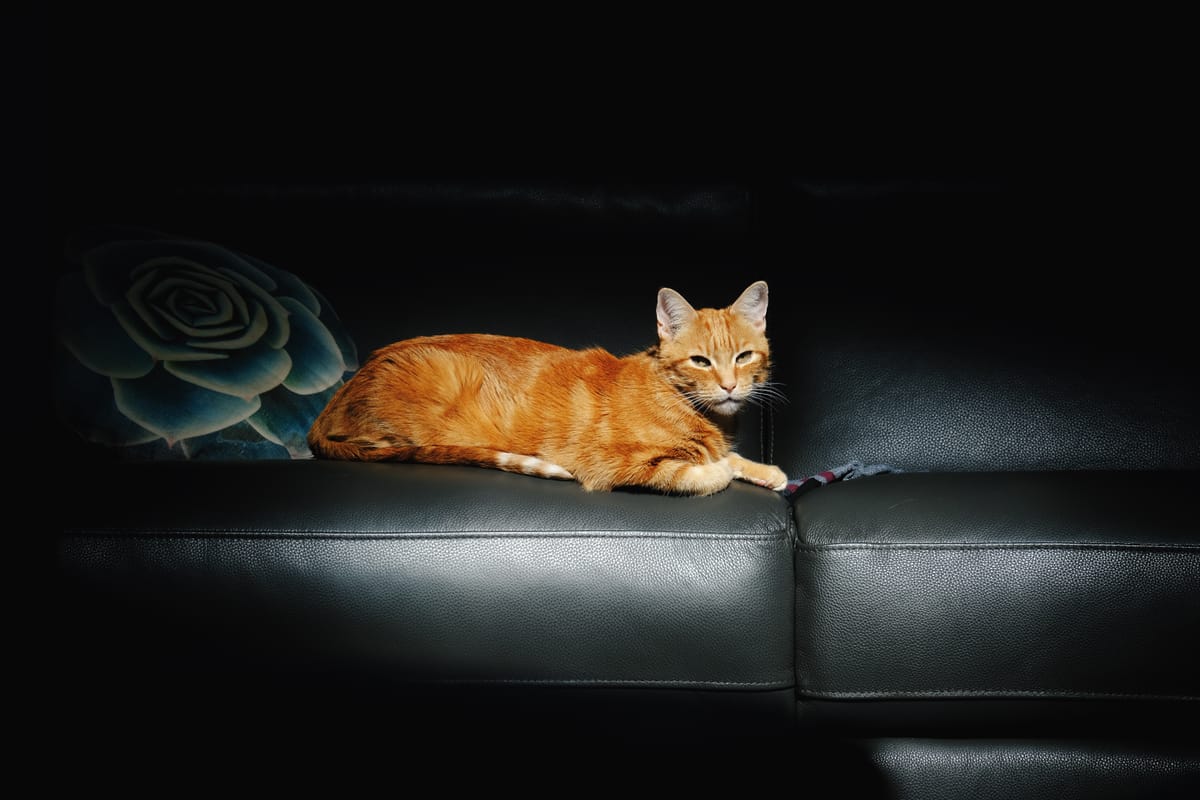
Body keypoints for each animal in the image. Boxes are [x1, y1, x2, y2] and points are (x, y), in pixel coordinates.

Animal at [307, 281, 787, 494]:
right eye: (701, 362)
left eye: (743, 357)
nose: (729, 386)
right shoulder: (611, 466)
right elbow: (700, 474)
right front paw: (721, 470)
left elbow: (729, 456)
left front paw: (765, 471)